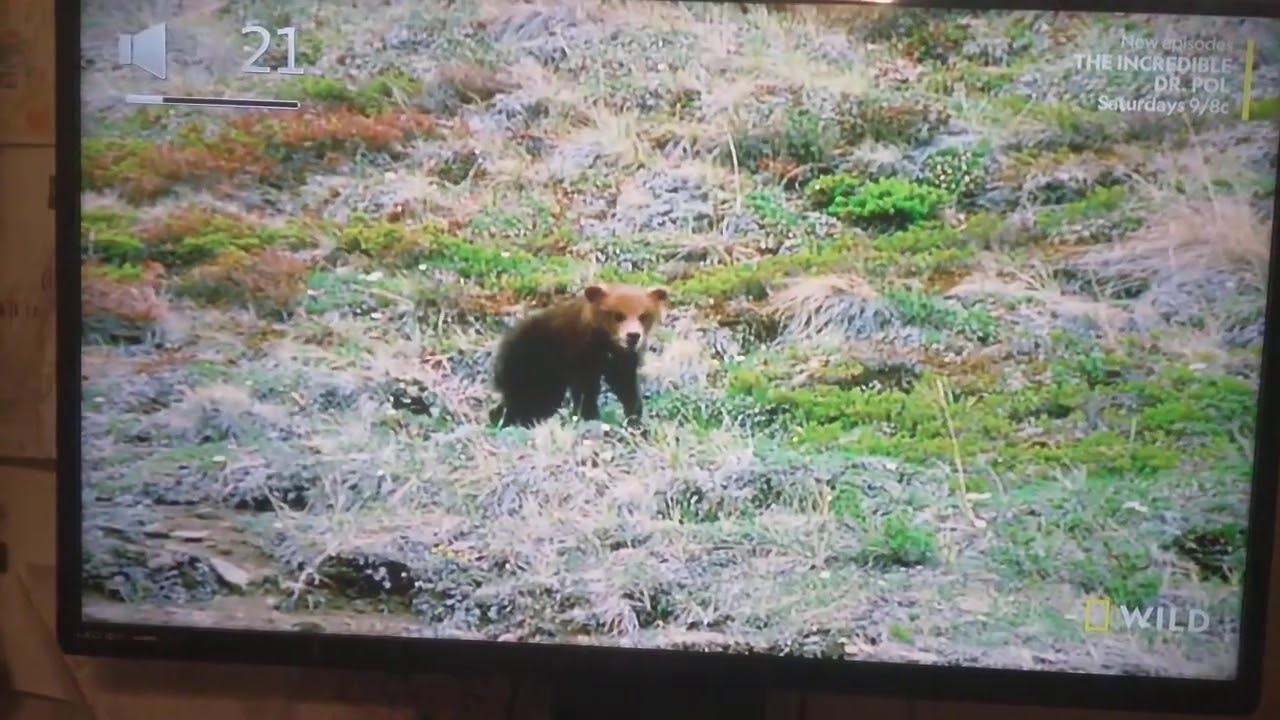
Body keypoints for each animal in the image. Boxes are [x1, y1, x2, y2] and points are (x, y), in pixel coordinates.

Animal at [488, 283, 669, 429]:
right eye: (617, 315)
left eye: (644, 315)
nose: (633, 336)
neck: (606, 344)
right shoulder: (579, 356)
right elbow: (585, 389)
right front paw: (589, 416)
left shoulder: (623, 360)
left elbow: (626, 386)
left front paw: (634, 418)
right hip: (529, 366)